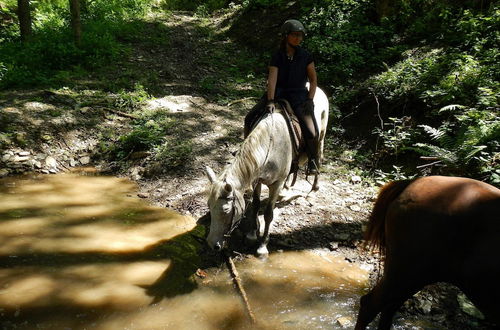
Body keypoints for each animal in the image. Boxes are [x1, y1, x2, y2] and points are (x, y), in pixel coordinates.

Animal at [206, 86, 328, 256]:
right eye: (209, 206)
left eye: (225, 211)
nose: (212, 244)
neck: (270, 146)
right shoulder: (257, 179)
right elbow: (256, 205)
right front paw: (252, 234)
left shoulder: (276, 183)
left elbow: (269, 214)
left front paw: (262, 245)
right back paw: (287, 188)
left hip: (321, 135)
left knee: (319, 156)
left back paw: (314, 189)